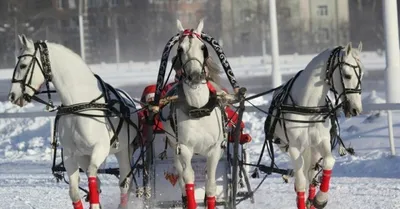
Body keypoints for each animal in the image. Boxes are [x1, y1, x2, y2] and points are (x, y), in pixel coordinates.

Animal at [7, 35, 139, 208]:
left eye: (23, 65)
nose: (12, 96)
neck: (79, 106)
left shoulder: (100, 148)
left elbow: (92, 177)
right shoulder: (71, 154)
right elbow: (75, 192)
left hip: (123, 151)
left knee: (124, 182)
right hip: (84, 156)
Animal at [161, 19, 227, 209]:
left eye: (203, 47)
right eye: (180, 49)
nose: (195, 76)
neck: (198, 108)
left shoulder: (215, 150)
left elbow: (211, 185)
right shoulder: (183, 148)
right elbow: (188, 179)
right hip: (173, 146)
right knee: (182, 178)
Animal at [268, 41, 364, 208]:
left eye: (362, 74)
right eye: (347, 75)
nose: (356, 109)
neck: (308, 106)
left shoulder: (321, 141)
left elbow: (329, 162)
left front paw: (320, 198)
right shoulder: (293, 147)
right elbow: (300, 182)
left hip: (312, 149)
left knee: (312, 174)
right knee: (303, 176)